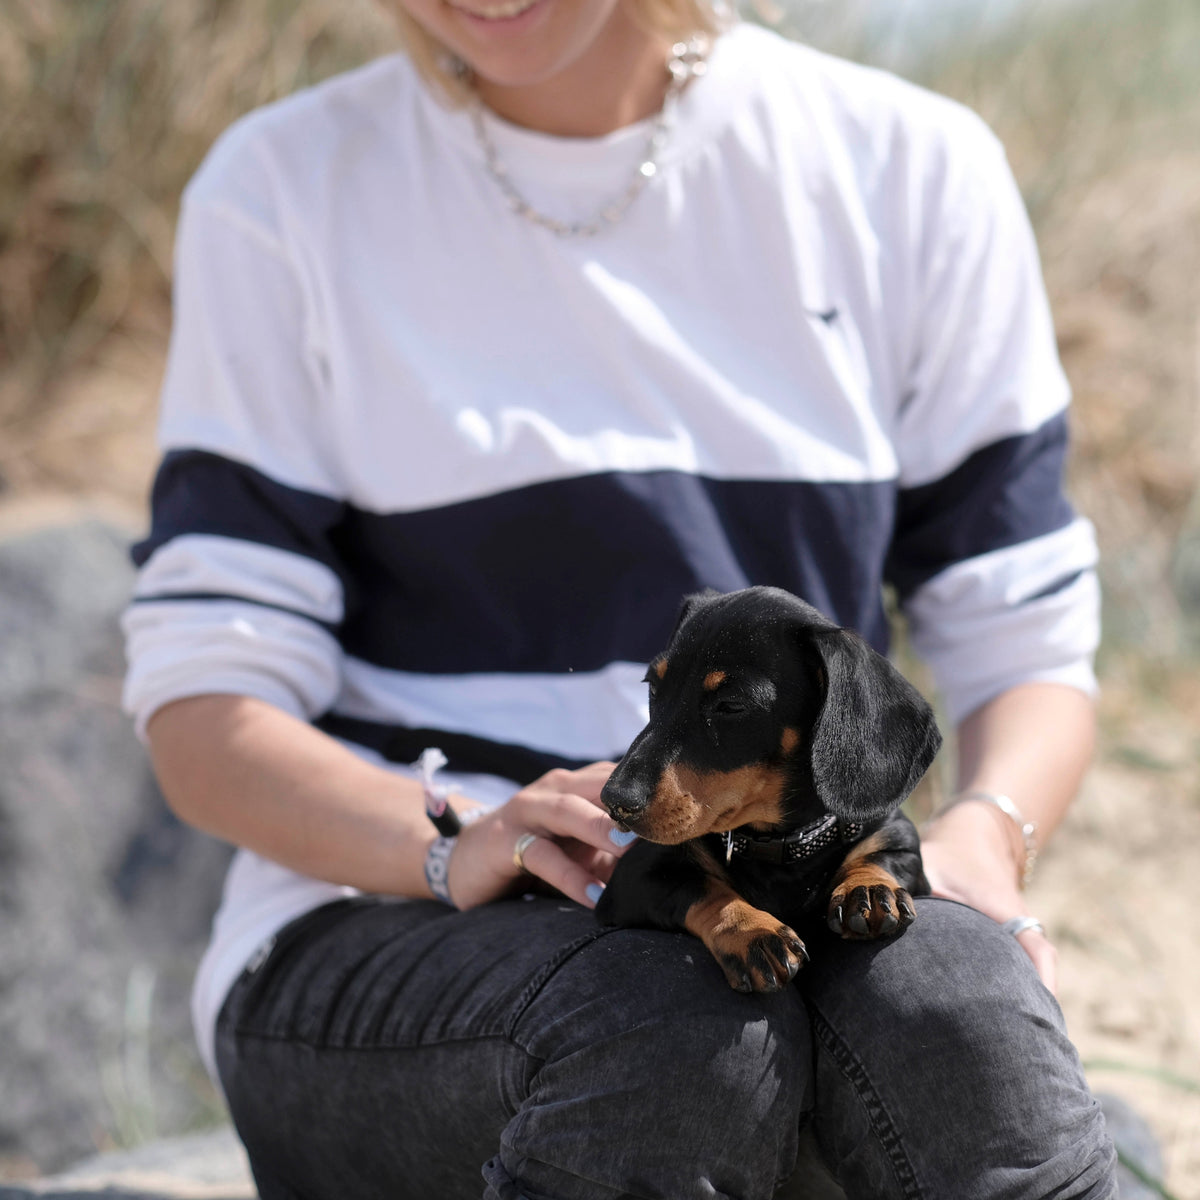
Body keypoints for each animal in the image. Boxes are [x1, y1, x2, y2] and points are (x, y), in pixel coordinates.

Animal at [595, 585, 940, 988]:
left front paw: (868, 888)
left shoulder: (899, 836)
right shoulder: (635, 876)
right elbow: (701, 888)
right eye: (653, 687)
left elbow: (880, 854)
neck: (780, 846)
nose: (614, 801)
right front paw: (751, 930)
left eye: (731, 705)